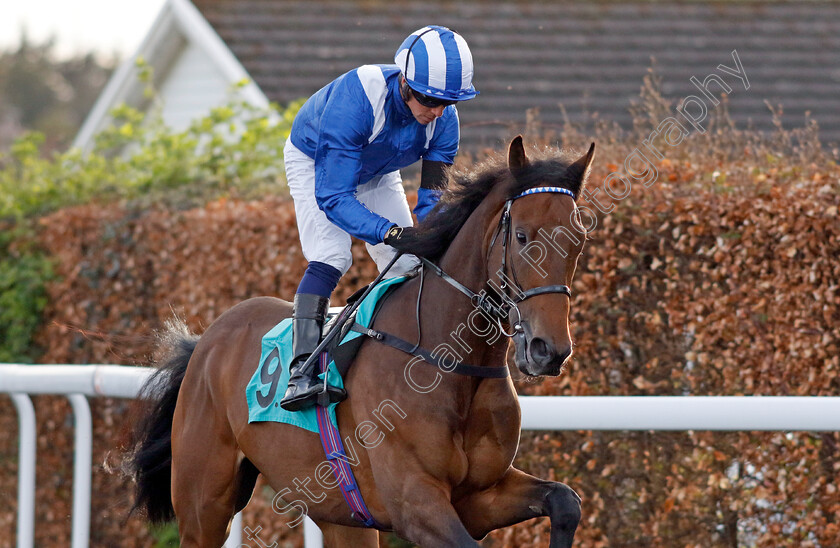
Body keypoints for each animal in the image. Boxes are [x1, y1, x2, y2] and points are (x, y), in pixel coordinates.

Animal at [128, 134, 592, 548]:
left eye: (580, 240)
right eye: (523, 237)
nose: (548, 350)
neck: (452, 364)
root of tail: (207, 341)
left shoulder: (480, 496)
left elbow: (565, 501)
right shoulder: (414, 503)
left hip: (342, 515)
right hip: (204, 505)